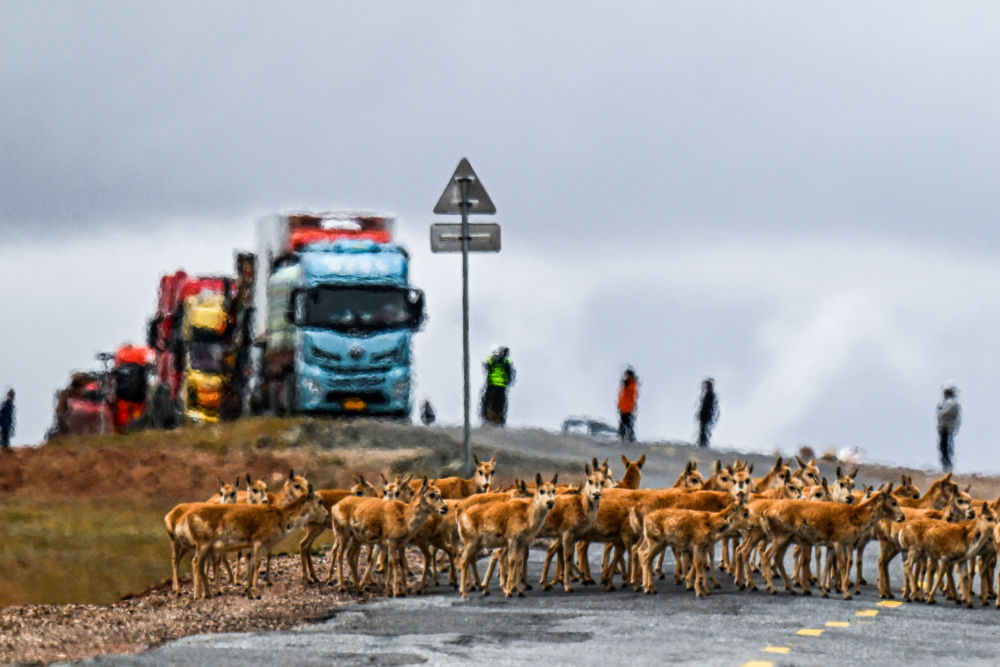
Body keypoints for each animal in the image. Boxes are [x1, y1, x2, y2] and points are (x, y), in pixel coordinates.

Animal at [182, 486, 330, 600]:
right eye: (320, 501)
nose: (327, 514)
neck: (279, 517)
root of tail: (188, 516)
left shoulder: (252, 546)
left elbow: (251, 565)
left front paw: (248, 592)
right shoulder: (258, 542)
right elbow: (257, 564)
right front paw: (256, 592)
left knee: (199, 564)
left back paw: (205, 593)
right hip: (203, 544)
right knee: (196, 562)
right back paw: (200, 595)